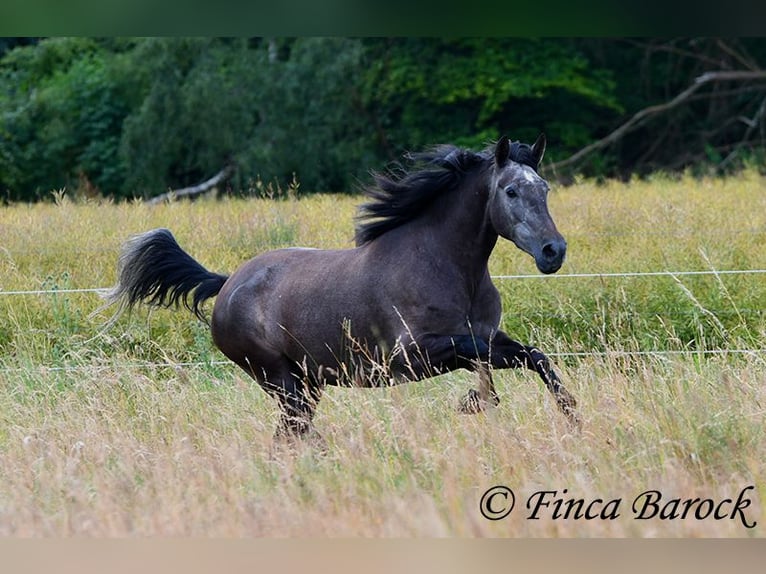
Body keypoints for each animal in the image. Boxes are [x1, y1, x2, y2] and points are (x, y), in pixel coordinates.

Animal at [105, 136, 580, 440]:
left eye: (545, 188)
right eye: (511, 190)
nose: (554, 251)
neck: (448, 266)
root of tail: (227, 285)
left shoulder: (487, 336)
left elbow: (532, 357)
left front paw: (572, 418)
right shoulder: (412, 355)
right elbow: (483, 357)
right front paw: (475, 402)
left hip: (306, 383)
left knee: (290, 436)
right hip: (281, 381)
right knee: (295, 433)